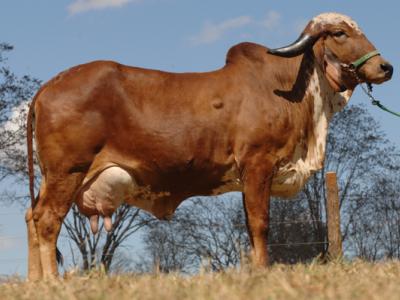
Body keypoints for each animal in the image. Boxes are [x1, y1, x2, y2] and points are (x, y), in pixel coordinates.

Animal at [26, 11, 392, 278]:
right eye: (340, 33)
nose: (385, 67)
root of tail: (49, 86)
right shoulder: (258, 165)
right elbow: (260, 224)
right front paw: (262, 271)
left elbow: (251, 227)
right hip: (67, 172)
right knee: (47, 221)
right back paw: (52, 282)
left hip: (55, 176)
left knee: (32, 218)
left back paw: (37, 282)